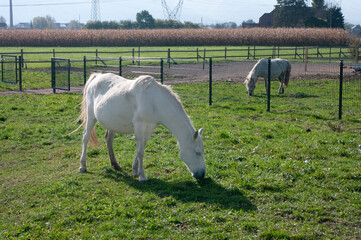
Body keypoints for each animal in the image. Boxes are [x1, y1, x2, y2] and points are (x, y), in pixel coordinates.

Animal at [73, 73, 204, 182]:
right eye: (198, 152)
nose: (202, 175)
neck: (154, 101)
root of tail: (97, 76)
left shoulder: (149, 129)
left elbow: (141, 149)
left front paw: (135, 170)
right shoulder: (139, 126)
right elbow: (140, 152)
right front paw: (142, 176)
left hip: (111, 123)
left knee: (108, 139)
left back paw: (115, 164)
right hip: (91, 117)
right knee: (85, 137)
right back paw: (82, 166)